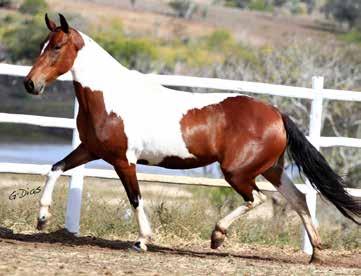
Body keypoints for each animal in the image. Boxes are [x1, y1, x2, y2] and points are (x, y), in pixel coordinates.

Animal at [23, 13, 358, 264]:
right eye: (41, 45)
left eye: (56, 47)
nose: (30, 84)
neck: (109, 97)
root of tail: (276, 113)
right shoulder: (91, 149)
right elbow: (55, 168)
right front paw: (42, 218)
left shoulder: (123, 160)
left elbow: (135, 198)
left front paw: (142, 241)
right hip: (271, 169)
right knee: (299, 199)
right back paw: (316, 254)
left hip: (238, 172)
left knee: (258, 198)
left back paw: (217, 236)